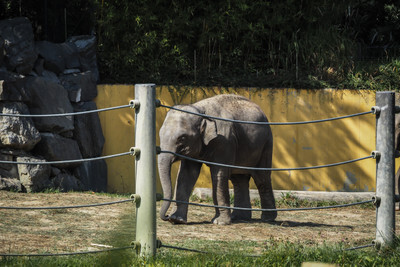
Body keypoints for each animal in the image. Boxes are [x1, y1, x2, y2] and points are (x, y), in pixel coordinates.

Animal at [158, 95, 276, 225]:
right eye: (159, 135)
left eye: (182, 138)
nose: (167, 216)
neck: (201, 110)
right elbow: (186, 174)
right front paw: (176, 219)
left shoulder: (224, 141)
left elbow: (219, 174)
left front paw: (220, 222)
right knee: (238, 179)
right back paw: (239, 217)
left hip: (266, 143)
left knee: (261, 178)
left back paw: (268, 218)